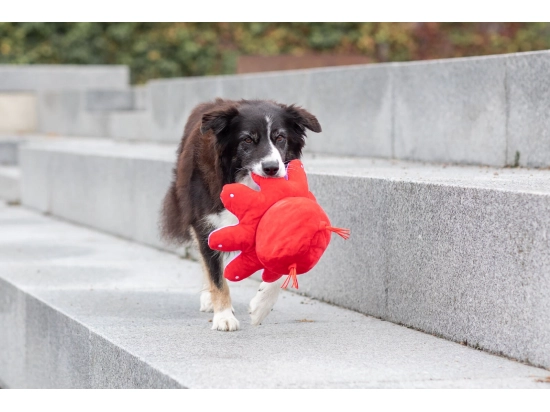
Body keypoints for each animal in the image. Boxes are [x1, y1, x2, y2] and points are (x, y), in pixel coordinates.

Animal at [162, 97, 322, 332]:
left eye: (280, 138)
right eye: (247, 139)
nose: (272, 168)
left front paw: (261, 306)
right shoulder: (206, 224)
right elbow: (216, 275)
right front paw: (224, 317)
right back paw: (209, 299)